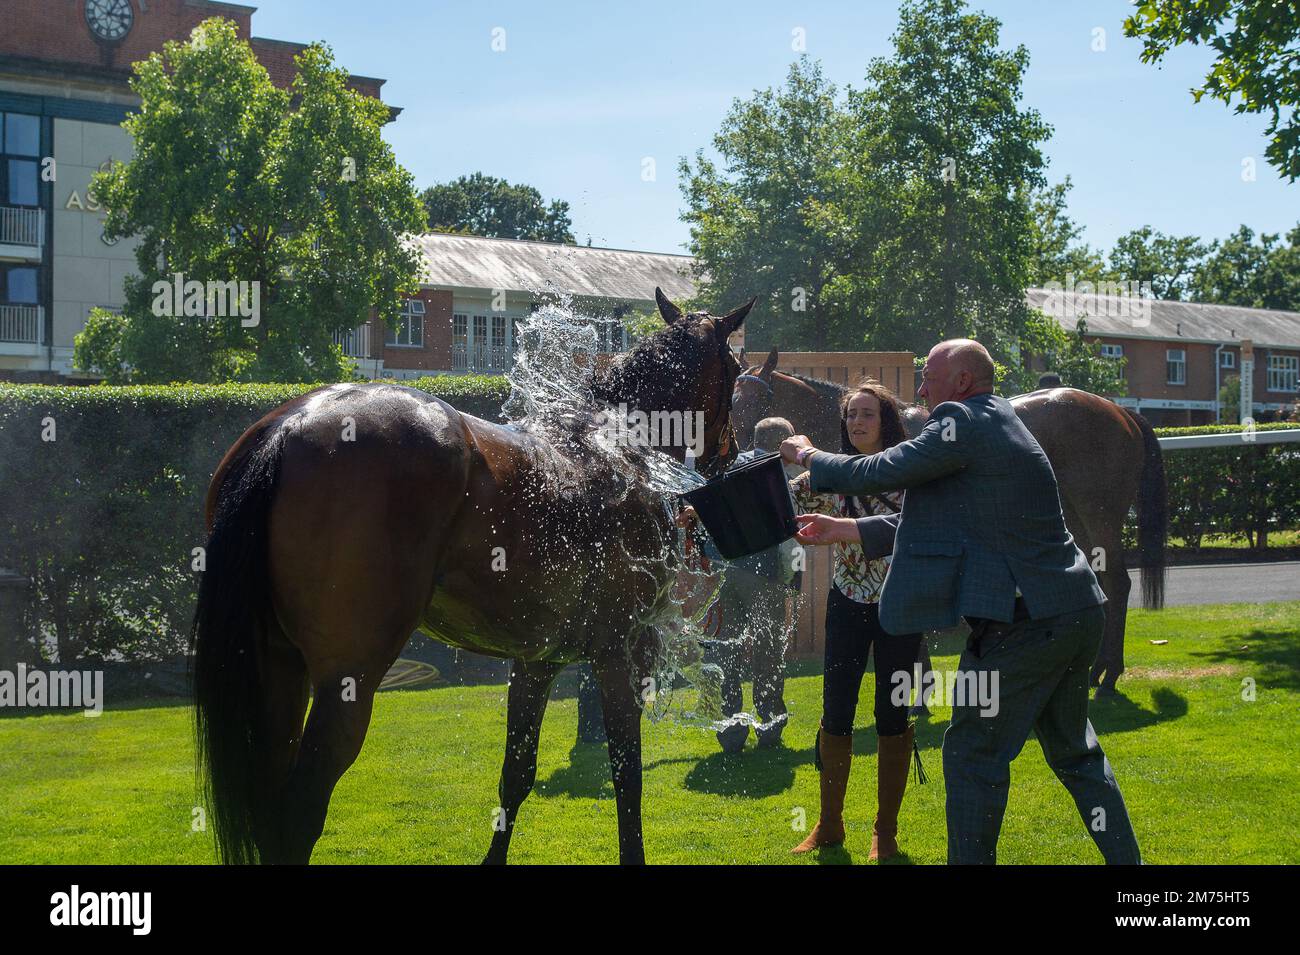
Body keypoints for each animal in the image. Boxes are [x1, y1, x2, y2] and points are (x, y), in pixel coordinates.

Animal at [191, 288, 752, 865]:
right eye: (736, 368)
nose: (729, 452)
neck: (615, 448)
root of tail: (288, 426)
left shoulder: (537, 659)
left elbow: (517, 774)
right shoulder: (620, 649)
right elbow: (628, 776)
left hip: (279, 669)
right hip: (347, 680)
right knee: (298, 813)